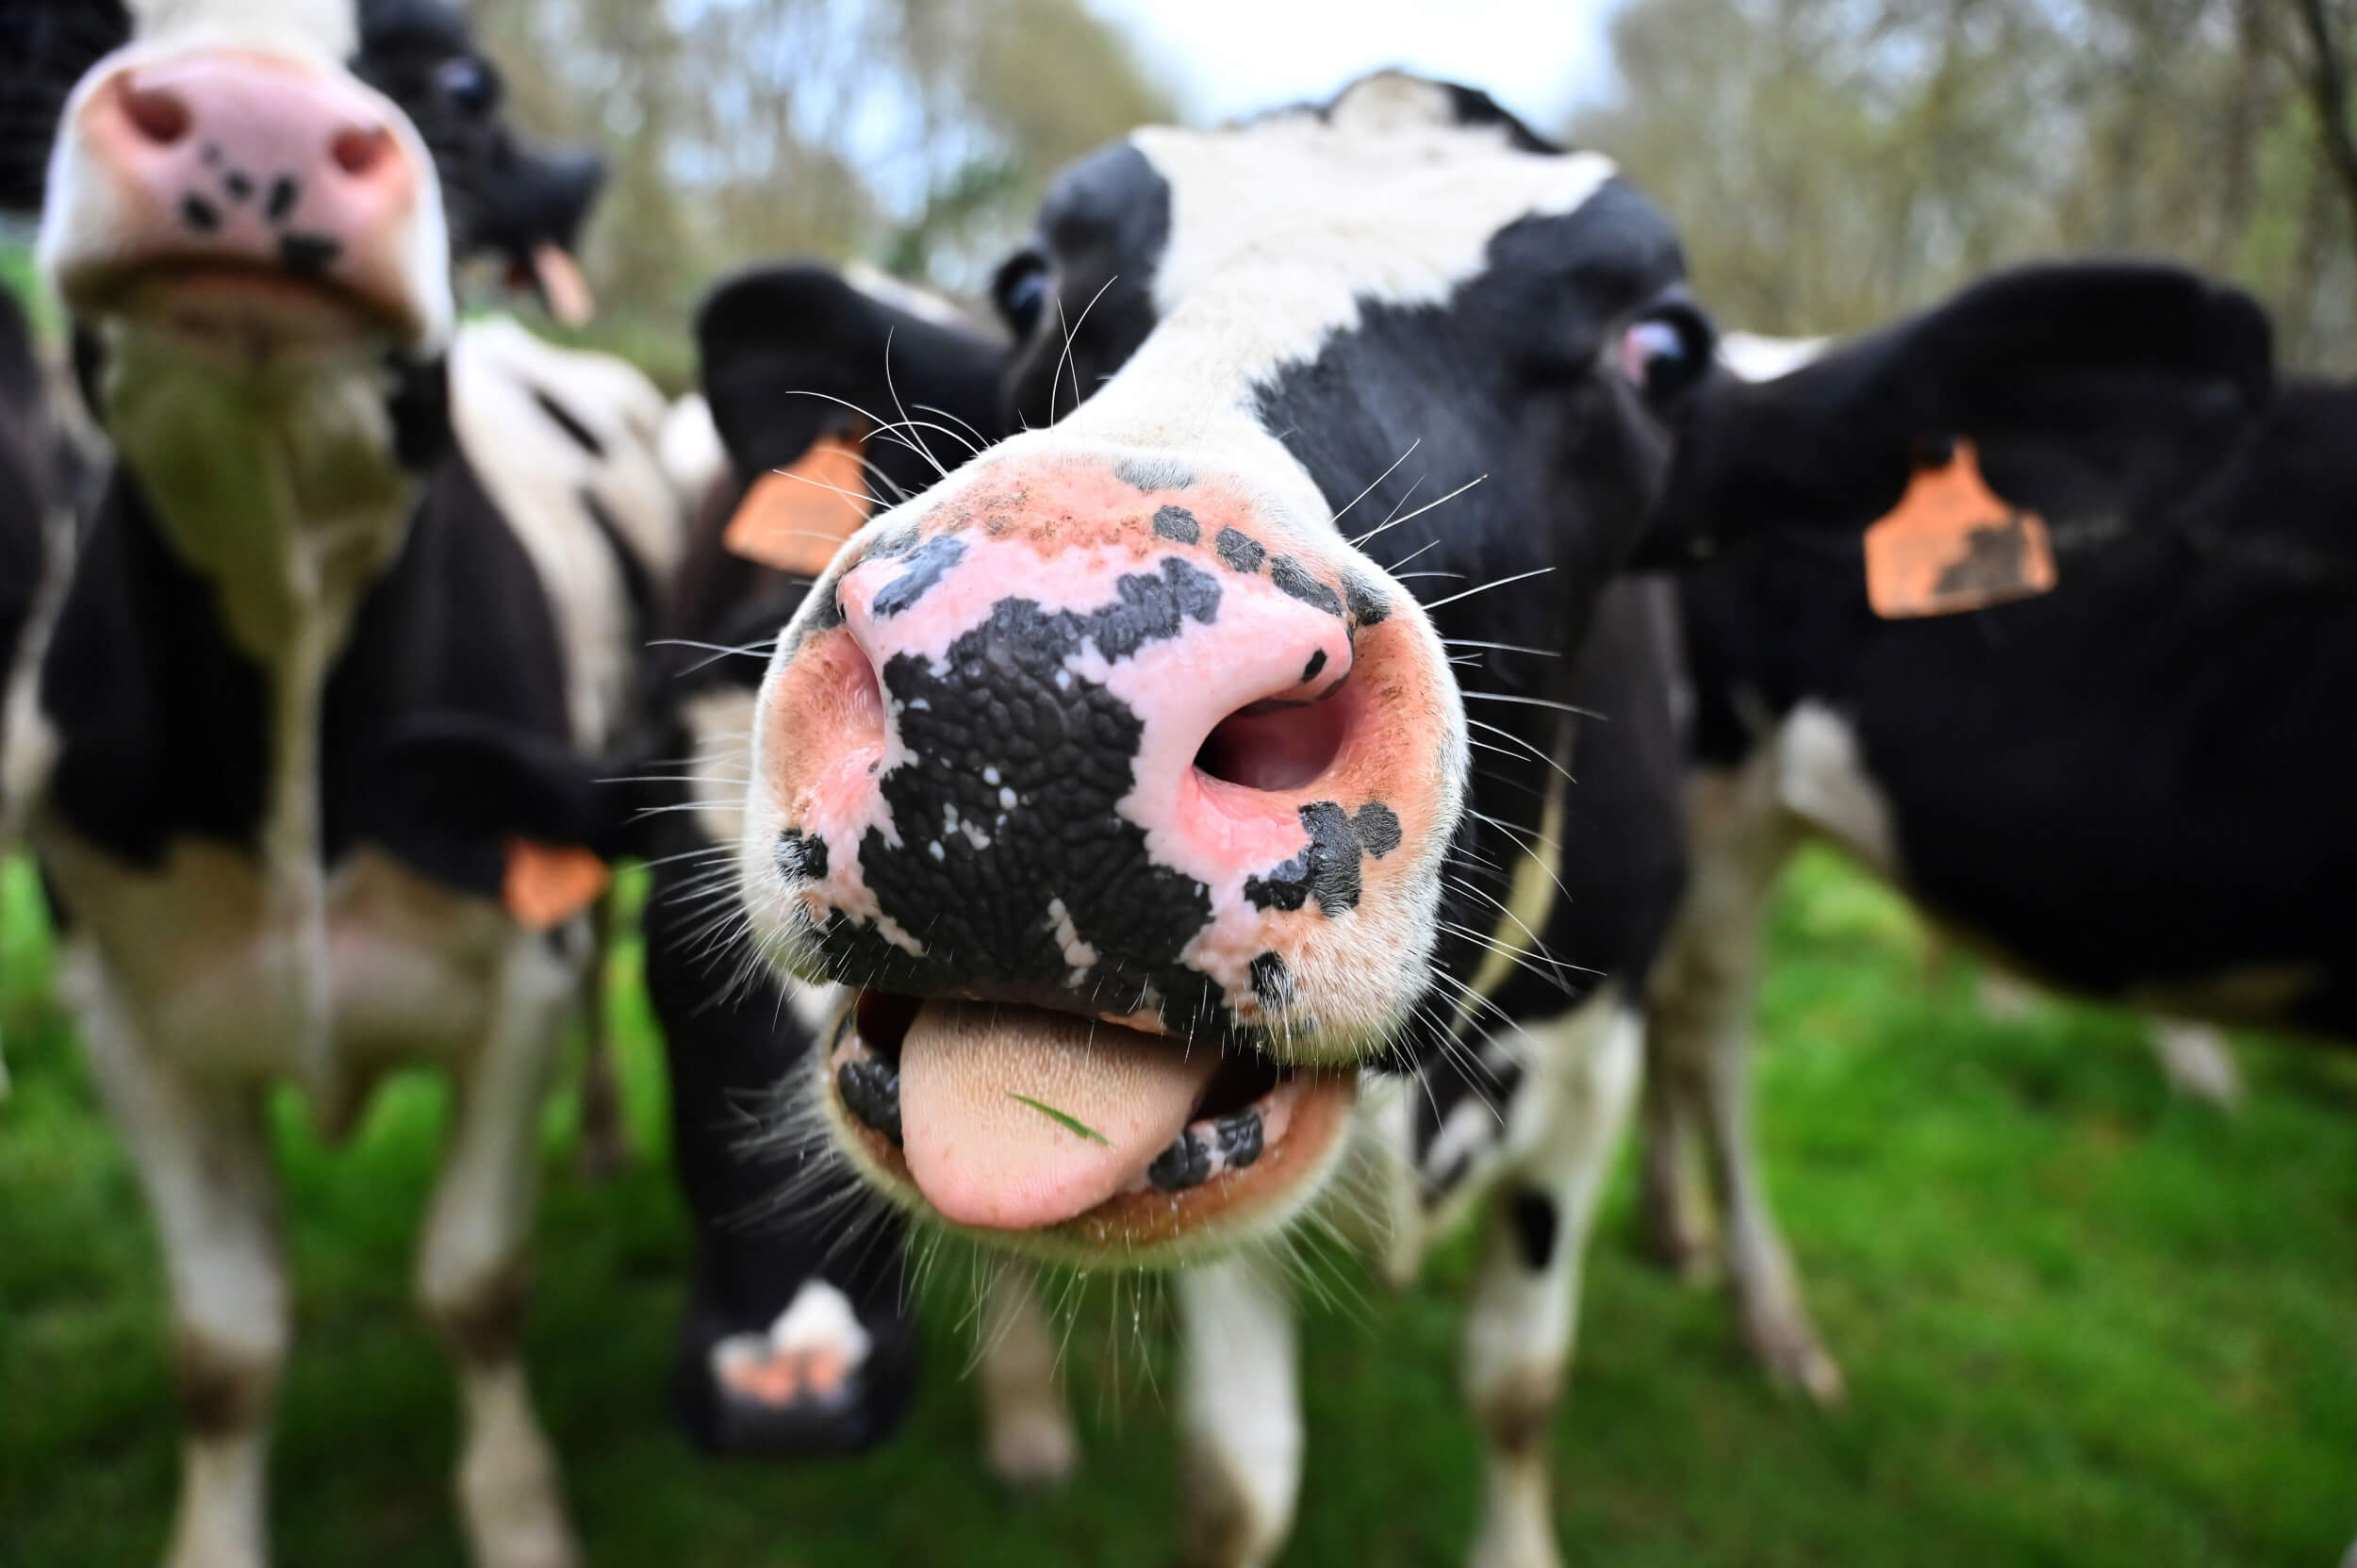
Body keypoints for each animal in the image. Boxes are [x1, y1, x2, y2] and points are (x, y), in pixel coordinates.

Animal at [21, 3, 684, 1565]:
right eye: (68, 37)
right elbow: (226, 1342)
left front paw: (520, 1515)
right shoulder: (129, 1014)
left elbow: (471, 1280)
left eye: (457, 79)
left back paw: (606, 1136)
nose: (245, 115)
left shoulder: (515, 980)